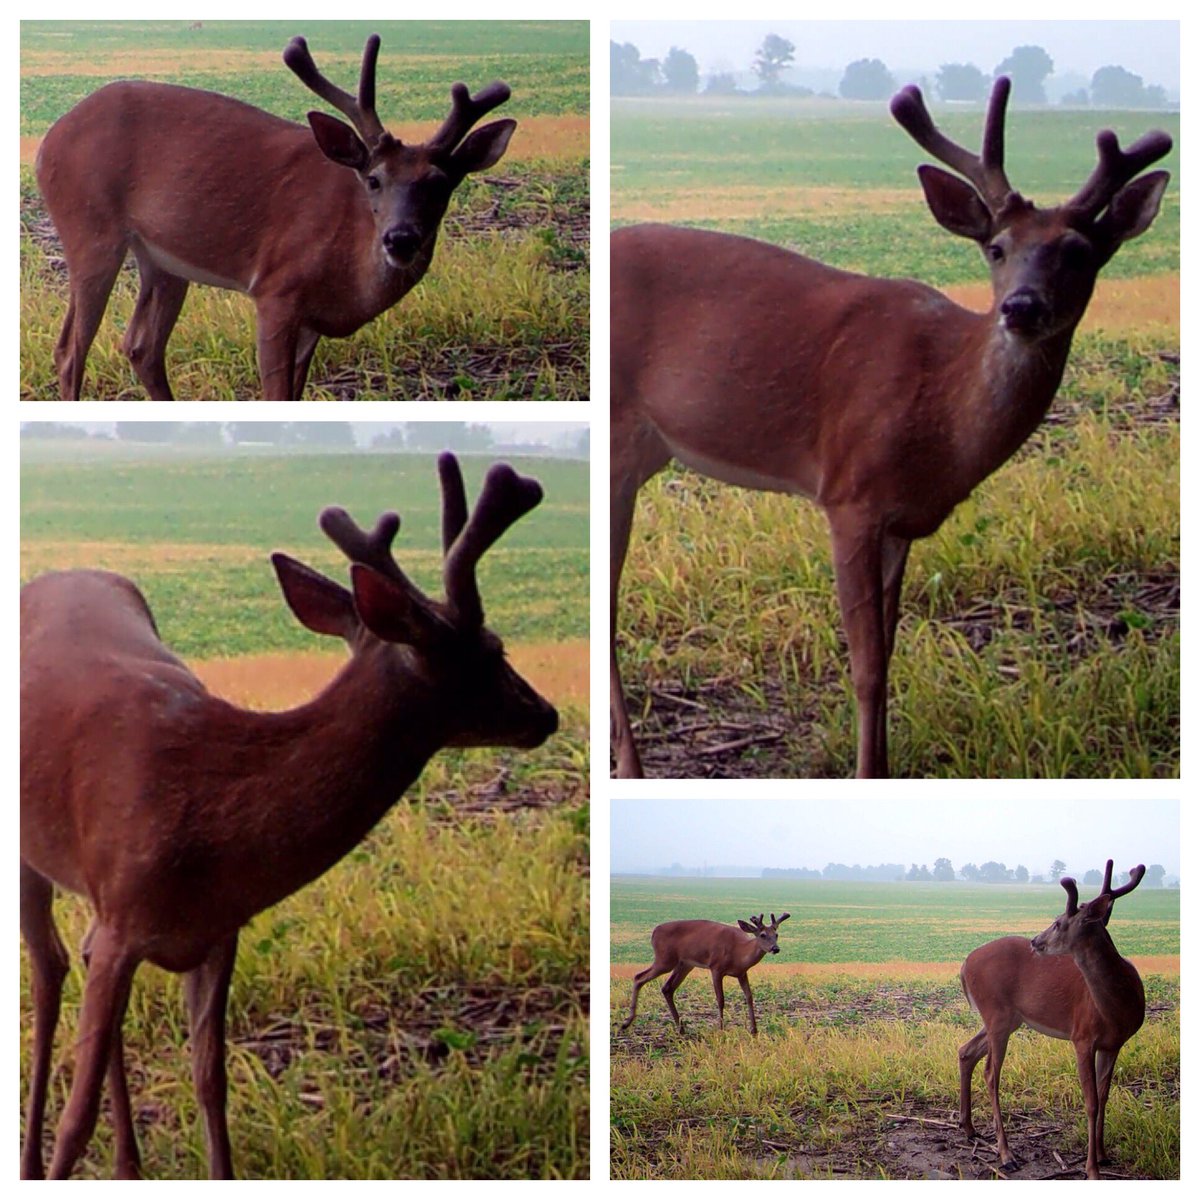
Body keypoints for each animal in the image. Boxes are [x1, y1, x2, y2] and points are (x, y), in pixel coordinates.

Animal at [19, 452, 558, 1179]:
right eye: (494, 651)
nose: (545, 713)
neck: (207, 817)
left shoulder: (217, 930)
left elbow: (210, 1081)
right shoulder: (124, 920)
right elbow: (77, 1120)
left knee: (69, 963)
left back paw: (129, 1165)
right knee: (48, 968)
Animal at [34, 33, 516, 401]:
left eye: (440, 183)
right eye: (374, 179)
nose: (401, 238)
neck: (349, 270)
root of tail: (48, 141)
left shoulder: (311, 321)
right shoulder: (276, 289)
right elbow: (274, 393)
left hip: (163, 260)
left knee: (140, 347)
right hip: (90, 227)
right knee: (69, 350)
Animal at [610, 77, 1172, 779]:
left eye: (1081, 254)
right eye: (996, 248)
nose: (1020, 307)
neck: (943, 416)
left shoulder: (903, 522)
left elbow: (891, 651)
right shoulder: (850, 494)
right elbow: (867, 668)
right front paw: (864, 771)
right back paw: (629, 768)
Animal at [621, 912, 790, 1036]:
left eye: (776, 935)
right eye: (762, 935)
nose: (776, 948)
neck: (738, 953)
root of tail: (654, 932)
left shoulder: (742, 973)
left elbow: (749, 997)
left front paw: (754, 1030)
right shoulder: (716, 967)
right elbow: (720, 999)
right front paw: (721, 1029)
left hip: (684, 964)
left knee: (667, 988)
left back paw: (681, 1028)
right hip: (664, 959)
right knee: (639, 977)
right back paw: (626, 1023)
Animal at [958, 861, 1146, 1179]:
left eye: (1058, 922)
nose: (1036, 940)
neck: (1115, 1008)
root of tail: (964, 964)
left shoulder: (1113, 1044)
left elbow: (1105, 1096)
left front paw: (1104, 1154)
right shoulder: (1082, 1036)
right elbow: (1091, 1102)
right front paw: (1091, 1169)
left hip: (1008, 1019)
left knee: (965, 1051)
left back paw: (969, 1128)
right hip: (996, 1014)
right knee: (991, 1074)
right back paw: (1006, 1154)